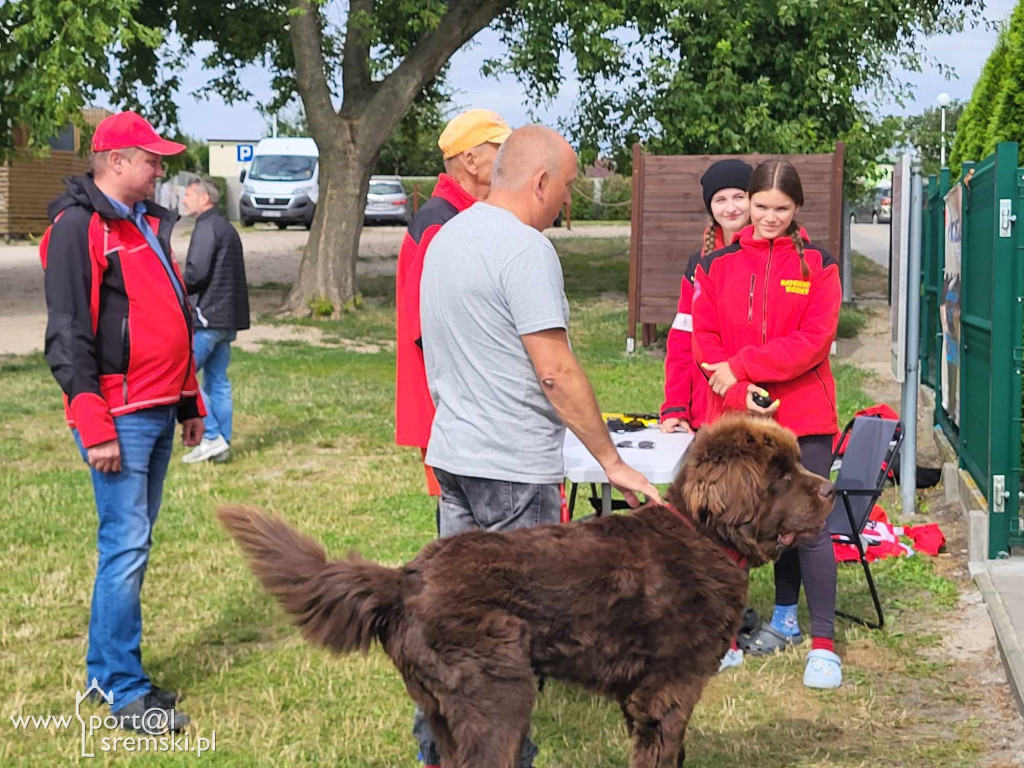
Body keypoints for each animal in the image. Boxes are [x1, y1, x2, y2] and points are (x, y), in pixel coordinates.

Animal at [216, 417, 831, 765]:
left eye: (798, 464)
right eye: (779, 476)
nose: (828, 489)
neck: (705, 538)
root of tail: (405, 577)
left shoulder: (643, 696)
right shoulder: (669, 689)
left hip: (442, 708)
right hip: (496, 697)